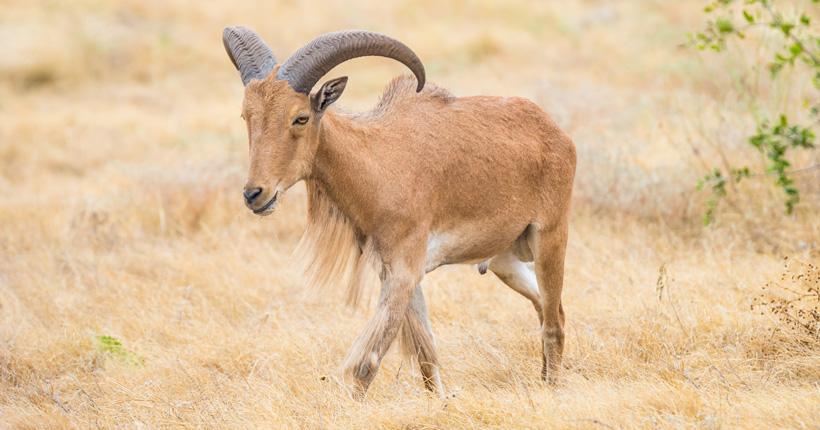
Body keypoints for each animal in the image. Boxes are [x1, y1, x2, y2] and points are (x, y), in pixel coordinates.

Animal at [222, 27, 576, 398]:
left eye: (300, 117)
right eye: (247, 116)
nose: (255, 194)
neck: (378, 163)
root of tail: (556, 132)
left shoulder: (405, 268)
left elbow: (368, 360)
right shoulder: (395, 270)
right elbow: (425, 354)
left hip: (550, 238)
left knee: (554, 322)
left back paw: (552, 386)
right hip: (504, 261)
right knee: (546, 307)